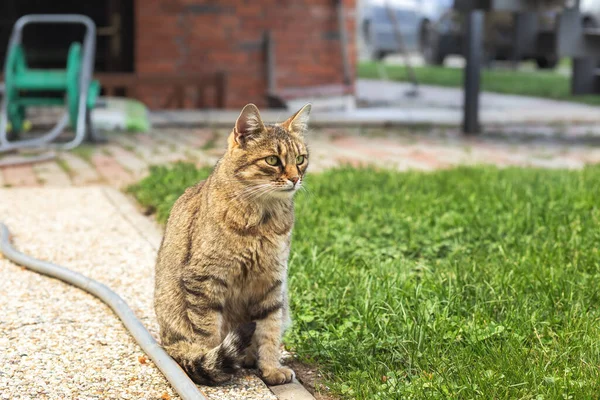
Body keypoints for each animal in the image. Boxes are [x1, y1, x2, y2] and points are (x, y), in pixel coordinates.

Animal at [155, 101, 312, 386]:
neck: (263, 217)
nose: (296, 179)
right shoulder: (205, 279)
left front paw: (271, 368)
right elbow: (208, 333)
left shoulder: (272, 283)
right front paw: (212, 362)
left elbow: (270, 330)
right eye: (273, 160)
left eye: (300, 159)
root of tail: (167, 343)